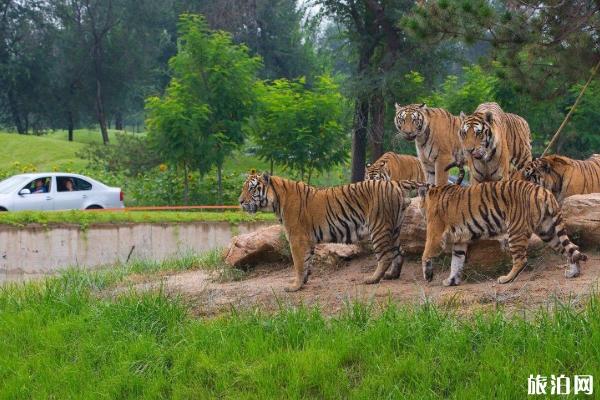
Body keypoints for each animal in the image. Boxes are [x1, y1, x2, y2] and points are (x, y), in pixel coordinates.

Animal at [239, 171, 412, 290]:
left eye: (252, 189)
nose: (239, 201)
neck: (277, 201)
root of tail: (394, 184)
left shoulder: (296, 238)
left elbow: (298, 263)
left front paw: (295, 286)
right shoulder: (307, 240)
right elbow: (306, 262)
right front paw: (303, 281)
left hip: (379, 227)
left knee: (386, 256)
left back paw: (372, 279)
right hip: (394, 228)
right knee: (399, 252)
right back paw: (392, 275)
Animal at [406, 180, 588, 286]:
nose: (419, 209)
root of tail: (543, 191)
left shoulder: (435, 234)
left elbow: (425, 254)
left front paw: (428, 275)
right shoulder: (460, 241)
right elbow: (456, 261)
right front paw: (451, 281)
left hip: (515, 231)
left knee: (521, 260)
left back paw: (505, 279)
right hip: (547, 230)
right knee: (570, 248)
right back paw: (573, 272)